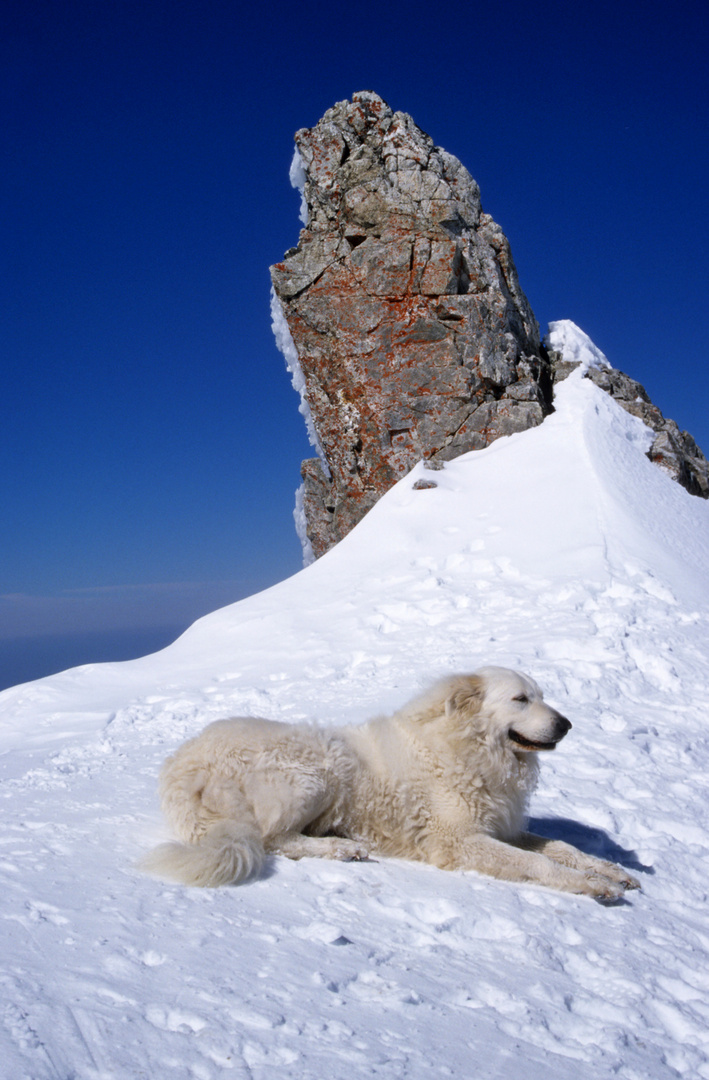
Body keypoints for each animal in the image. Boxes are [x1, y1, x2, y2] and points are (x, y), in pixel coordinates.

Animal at [141, 669, 639, 898]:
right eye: (520, 699)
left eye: (541, 696)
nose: (567, 724)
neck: (468, 749)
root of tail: (182, 763)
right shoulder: (460, 840)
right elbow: (540, 864)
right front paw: (593, 886)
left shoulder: (503, 827)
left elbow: (562, 847)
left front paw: (610, 869)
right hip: (318, 769)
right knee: (273, 839)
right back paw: (341, 848)